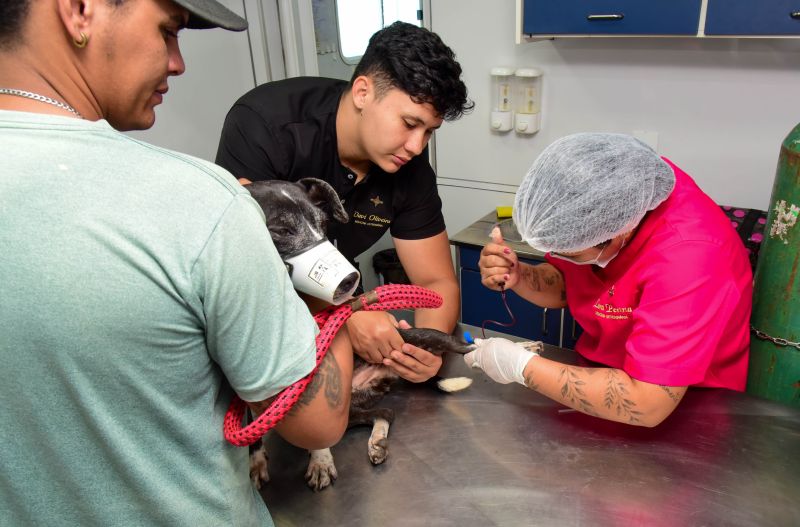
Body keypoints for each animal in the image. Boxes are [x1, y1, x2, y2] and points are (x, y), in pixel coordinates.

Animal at [247, 178, 472, 490]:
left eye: (323, 225)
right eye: (280, 230)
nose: (349, 281)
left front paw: (320, 460)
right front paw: (256, 462)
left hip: (404, 342)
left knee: (431, 339)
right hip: (350, 411)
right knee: (384, 413)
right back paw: (376, 442)